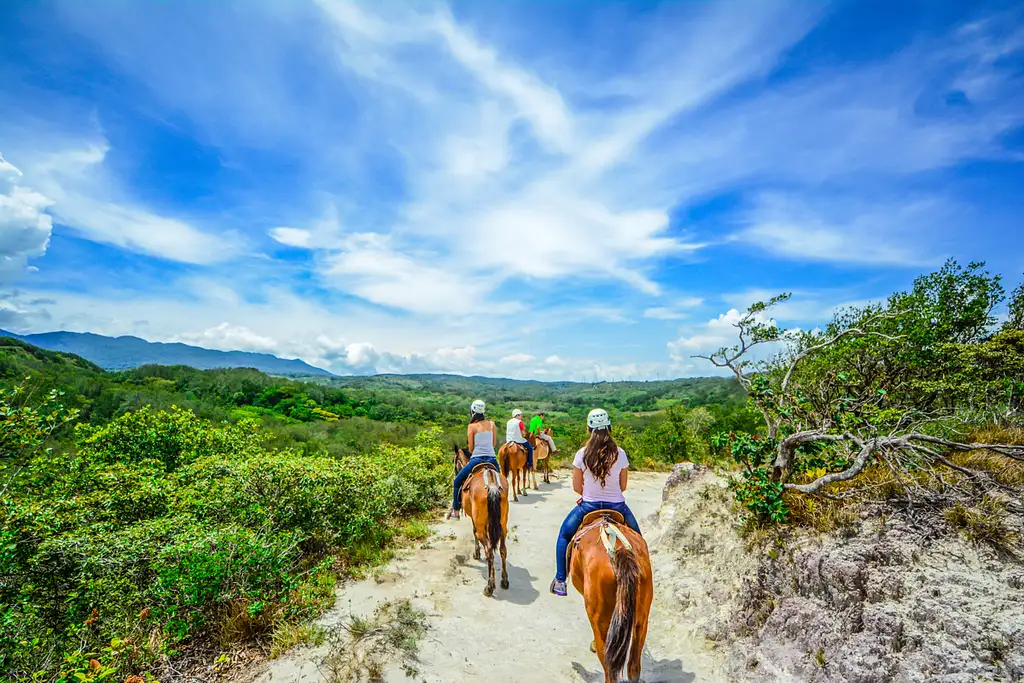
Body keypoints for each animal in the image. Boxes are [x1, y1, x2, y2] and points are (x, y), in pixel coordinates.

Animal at [458, 446, 509, 593]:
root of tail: (492, 486)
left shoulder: (475, 521)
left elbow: (474, 532)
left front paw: (476, 553)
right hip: (503, 526)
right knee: (503, 550)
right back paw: (504, 581)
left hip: (482, 526)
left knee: (489, 550)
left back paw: (490, 586)